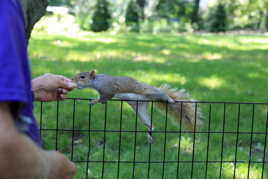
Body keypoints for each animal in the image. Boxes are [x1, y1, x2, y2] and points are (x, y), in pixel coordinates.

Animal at [72, 70, 202, 143]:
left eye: (82, 77)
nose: (72, 79)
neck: (96, 81)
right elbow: (102, 97)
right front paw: (95, 101)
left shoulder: (109, 89)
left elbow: (105, 96)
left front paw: (96, 101)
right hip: (140, 108)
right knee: (149, 124)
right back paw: (149, 135)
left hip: (150, 92)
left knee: (161, 94)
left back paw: (169, 99)